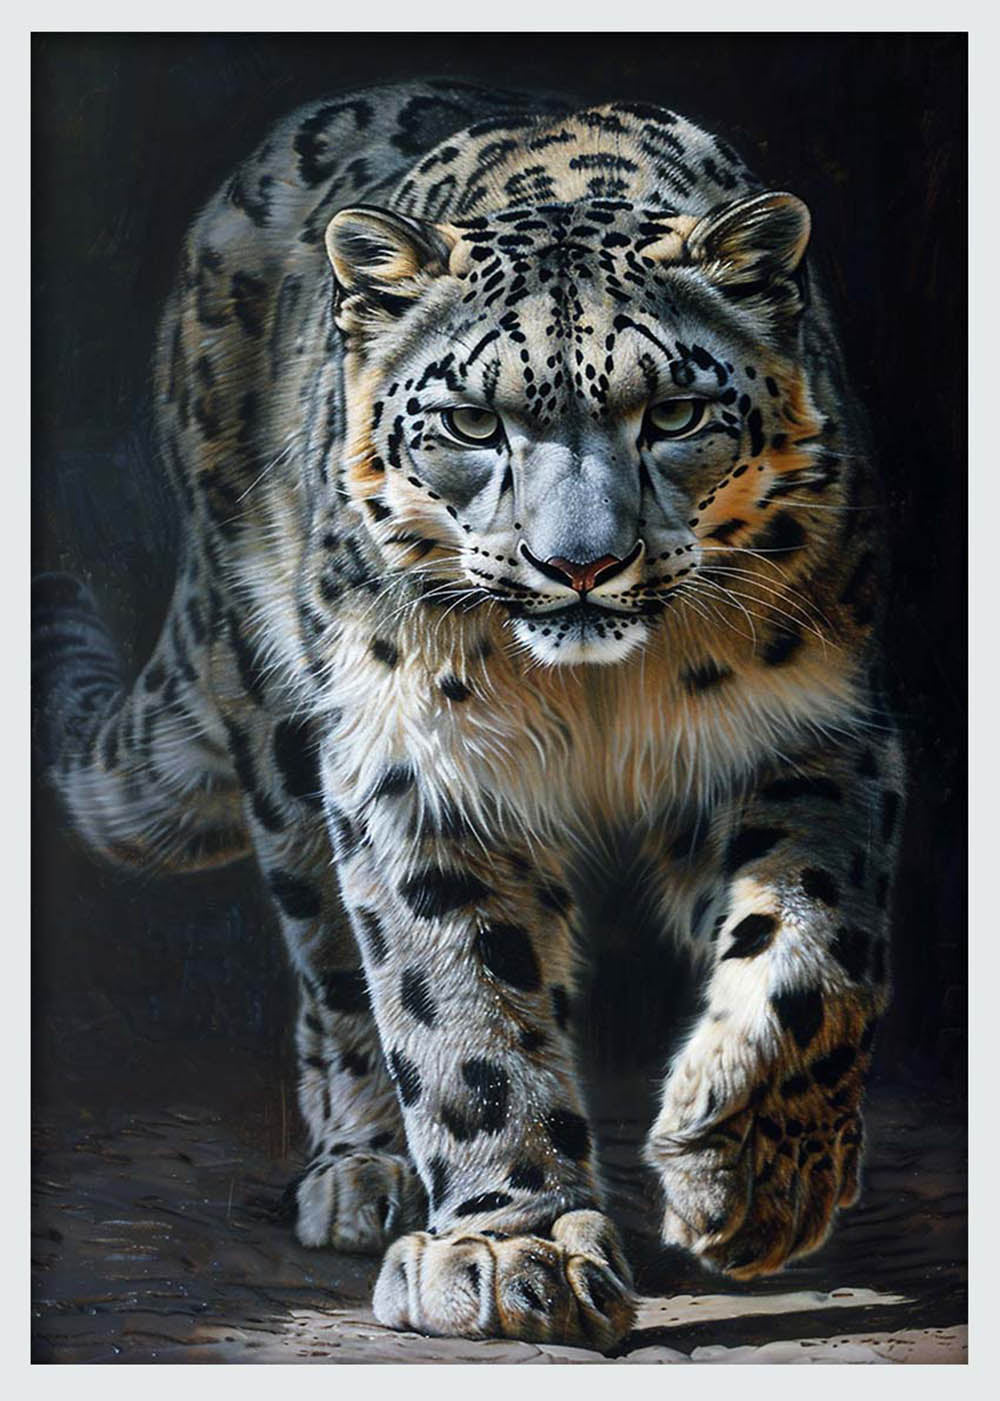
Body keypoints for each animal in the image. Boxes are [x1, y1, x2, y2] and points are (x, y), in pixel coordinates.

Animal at [33, 78, 904, 1352]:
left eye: (675, 412)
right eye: (470, 426)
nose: (580, 564)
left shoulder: (805, 733)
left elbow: (815, 951)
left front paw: (750, 1177)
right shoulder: (422, 764)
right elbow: (458, 1000)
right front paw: (509, 1252)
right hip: (285, 730)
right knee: (331, 964)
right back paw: (363, 1171)